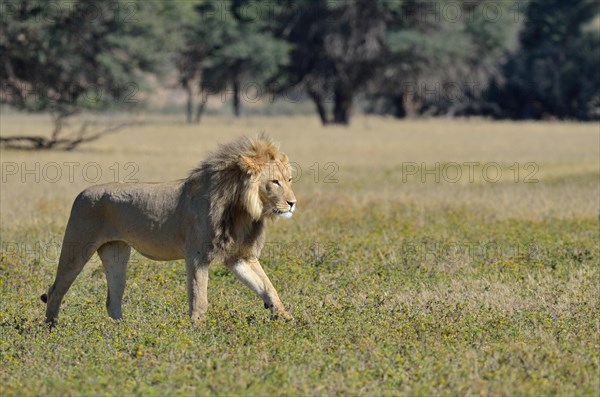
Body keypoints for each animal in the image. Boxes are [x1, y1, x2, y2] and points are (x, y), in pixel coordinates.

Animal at [41, 135, 296, 324]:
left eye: (290, 180)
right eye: (275, 182)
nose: (293, 203)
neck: (242, 209)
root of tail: (82, 193)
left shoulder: (239, 256)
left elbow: (268, 287)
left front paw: (288, 319)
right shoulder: (197, 254)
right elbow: (199, 298)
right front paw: (197, 329)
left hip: (116, 252)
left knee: (112, 299)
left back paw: (121, 332)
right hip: (77, 248)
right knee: (56, 290)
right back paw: (52, 330)